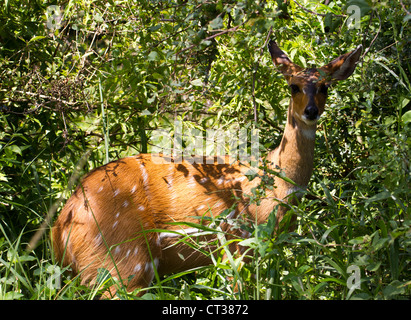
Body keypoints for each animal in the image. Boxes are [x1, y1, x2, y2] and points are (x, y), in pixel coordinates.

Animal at [52, 41, 364, 296]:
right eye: (293, 86)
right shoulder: (239, 245)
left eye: (325, 87)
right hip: (122, 262)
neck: (276, 181)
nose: (311, 112)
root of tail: (61, 228)